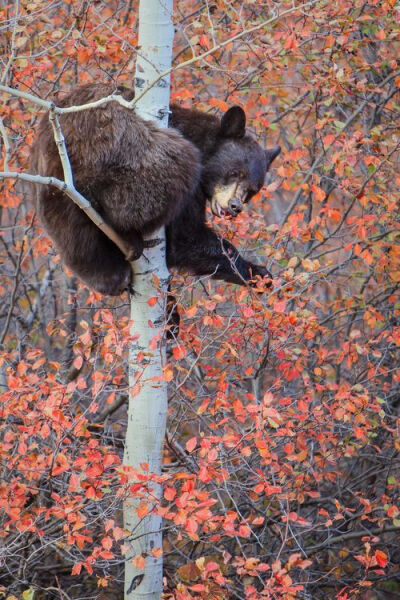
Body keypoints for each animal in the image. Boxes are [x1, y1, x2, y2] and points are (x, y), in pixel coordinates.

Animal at [30, 84, 282, 296]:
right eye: (235, 172)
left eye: (253, 190)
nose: (234, 206)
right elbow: (186, 238)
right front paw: (258, 273)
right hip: (125, 151)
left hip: (58, 202)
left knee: (78, 242)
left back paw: (111, 276)